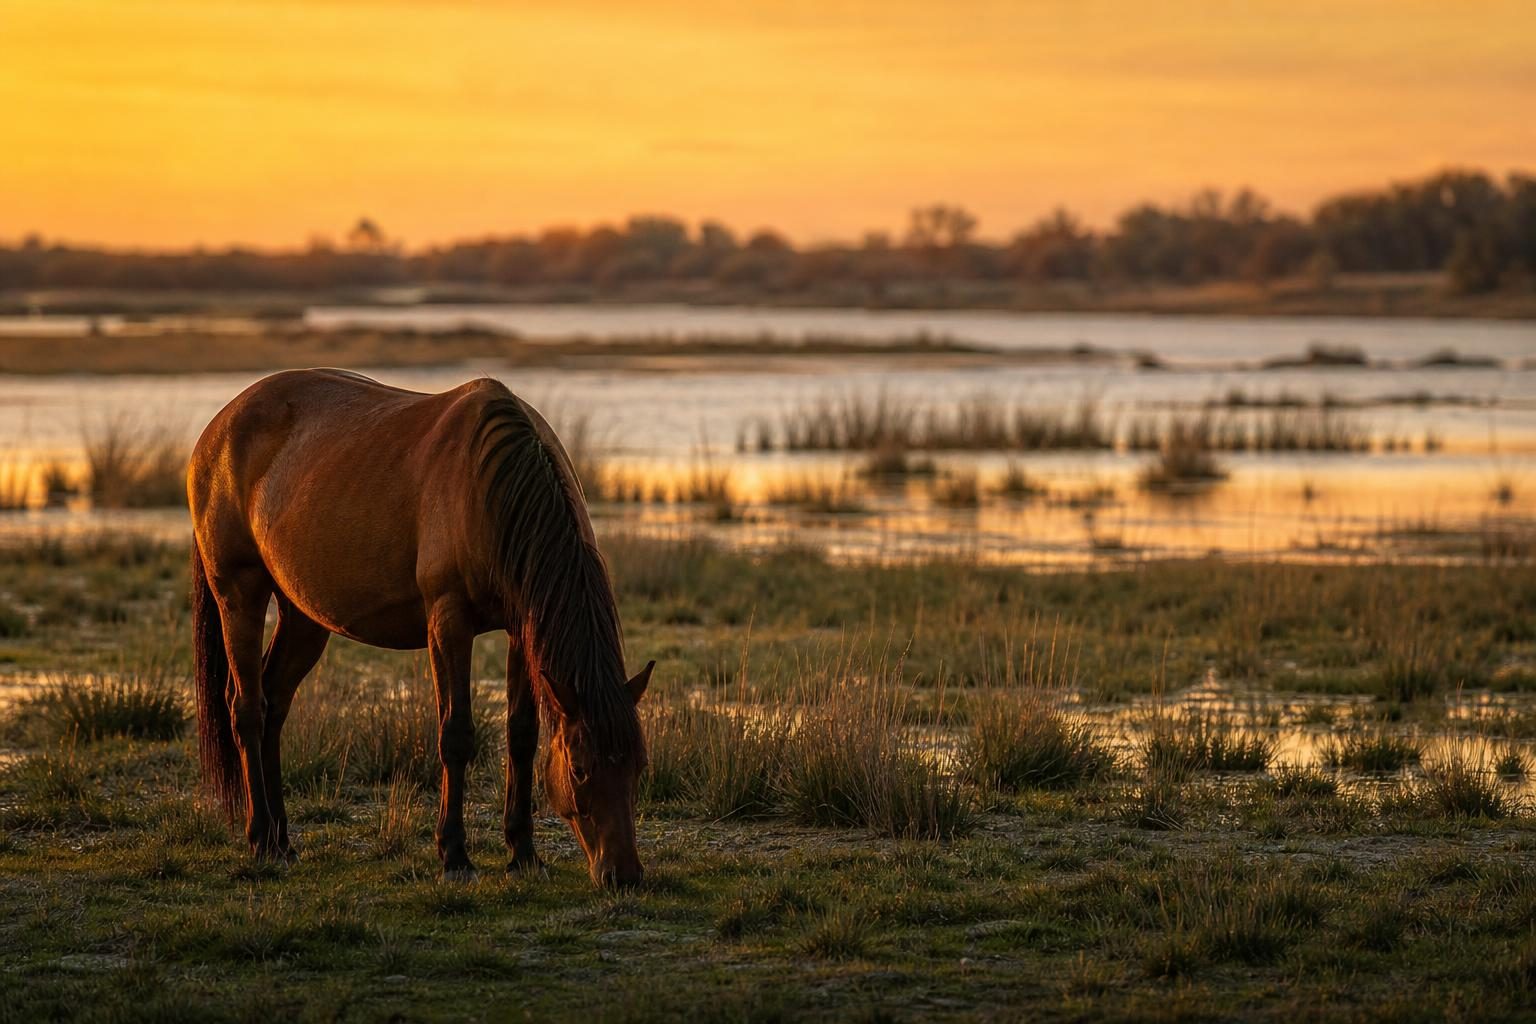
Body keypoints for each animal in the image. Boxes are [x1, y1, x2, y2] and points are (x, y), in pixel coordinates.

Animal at [187, 368, 653, 886]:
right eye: (579, 770)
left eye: (638, 766)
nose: (624, 874)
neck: (489, 490)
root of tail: (217, 430)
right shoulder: (448, 623)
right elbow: (456, 734)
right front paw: (454, 854)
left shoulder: (520, 630)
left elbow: (522, 734)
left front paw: (523, 852)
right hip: (239, 595)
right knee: (247, 709)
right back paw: (260, 838)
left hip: (303, 618)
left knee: (274, 704)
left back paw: (283, 839)